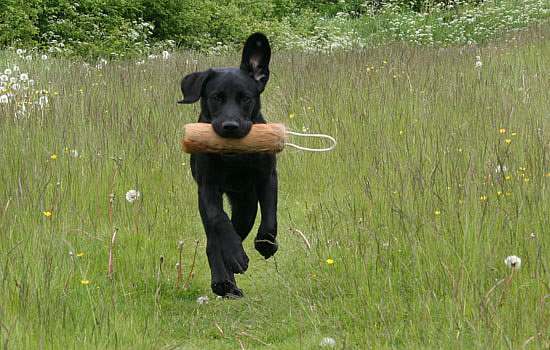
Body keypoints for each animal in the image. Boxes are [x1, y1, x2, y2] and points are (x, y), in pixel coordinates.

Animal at [179, 32, 278, 296]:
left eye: (245, 98)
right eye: (216, 98)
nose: (230, 127)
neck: (235, 157)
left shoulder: (267, 177)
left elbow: (270, 216)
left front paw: (266, 244)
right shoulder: (207, 187)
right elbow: (219, 219)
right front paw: (234, 255)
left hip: (246, 206)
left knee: (239, 226)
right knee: (214, 240)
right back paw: (223, 280)